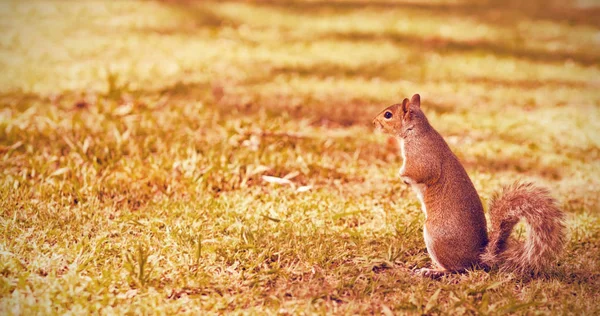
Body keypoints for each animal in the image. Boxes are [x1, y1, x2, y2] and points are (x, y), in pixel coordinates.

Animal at [372, 95, 564, 278]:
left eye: (388, 115)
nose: (374, 122)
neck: (414, 130)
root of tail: (478, 259)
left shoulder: (421, 156)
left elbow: (419, 172)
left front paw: (402, 175)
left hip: (435, 235)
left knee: (457, 268)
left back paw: (434, 271)